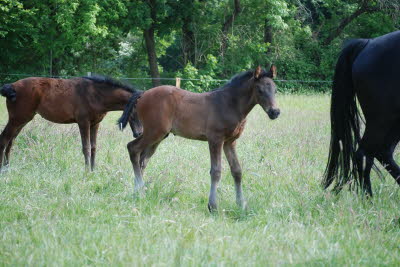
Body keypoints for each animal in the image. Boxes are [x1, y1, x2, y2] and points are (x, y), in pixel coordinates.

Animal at [0, 75, 144, 172]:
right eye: (137, 111)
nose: (139, 134)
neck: (95, 94)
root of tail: (12, 86)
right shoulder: (83, 122)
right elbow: (86, 147)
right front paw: (87, 171)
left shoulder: (95, 124)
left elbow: (93, 147)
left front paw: (93, 170)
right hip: (17, 119)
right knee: (5, 138)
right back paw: (3, 168)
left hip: (22, 120)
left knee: (11, 141)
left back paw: (7, 166)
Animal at [119, 65, 280, 211]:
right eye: (260, 90)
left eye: (275, 89)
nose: (275, 112)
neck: (229, 104)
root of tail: (143, 94)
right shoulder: (215, 139)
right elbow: (216, 171)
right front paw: (213, 206)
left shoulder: (230, 142)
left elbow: (237, 171)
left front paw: (242, 205)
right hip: (154, 132)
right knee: (132, 148)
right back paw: (139, 192)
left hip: (158, 136)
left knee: (142, 160)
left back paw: (138, 192)